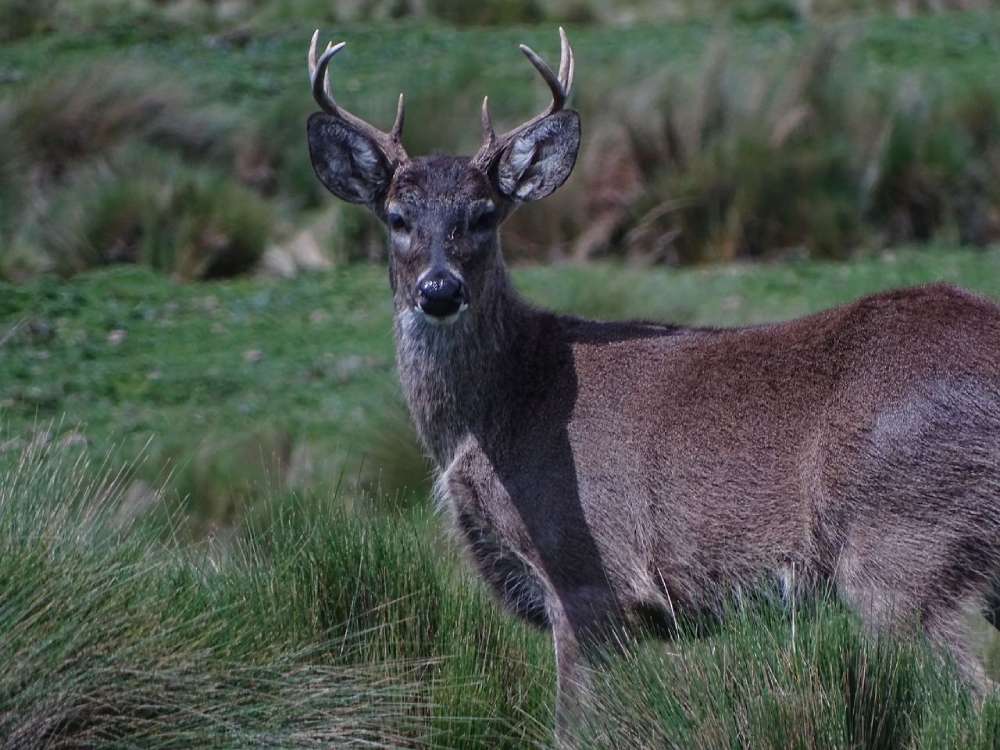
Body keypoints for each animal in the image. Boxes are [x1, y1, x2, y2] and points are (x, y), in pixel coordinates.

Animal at [305, 27, 1000, 739]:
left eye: (483, 214)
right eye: (396, 216)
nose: (439, 290)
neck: (502, 408)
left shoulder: (589, 577)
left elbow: (573, 729)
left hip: (901, 542)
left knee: (973, 697)